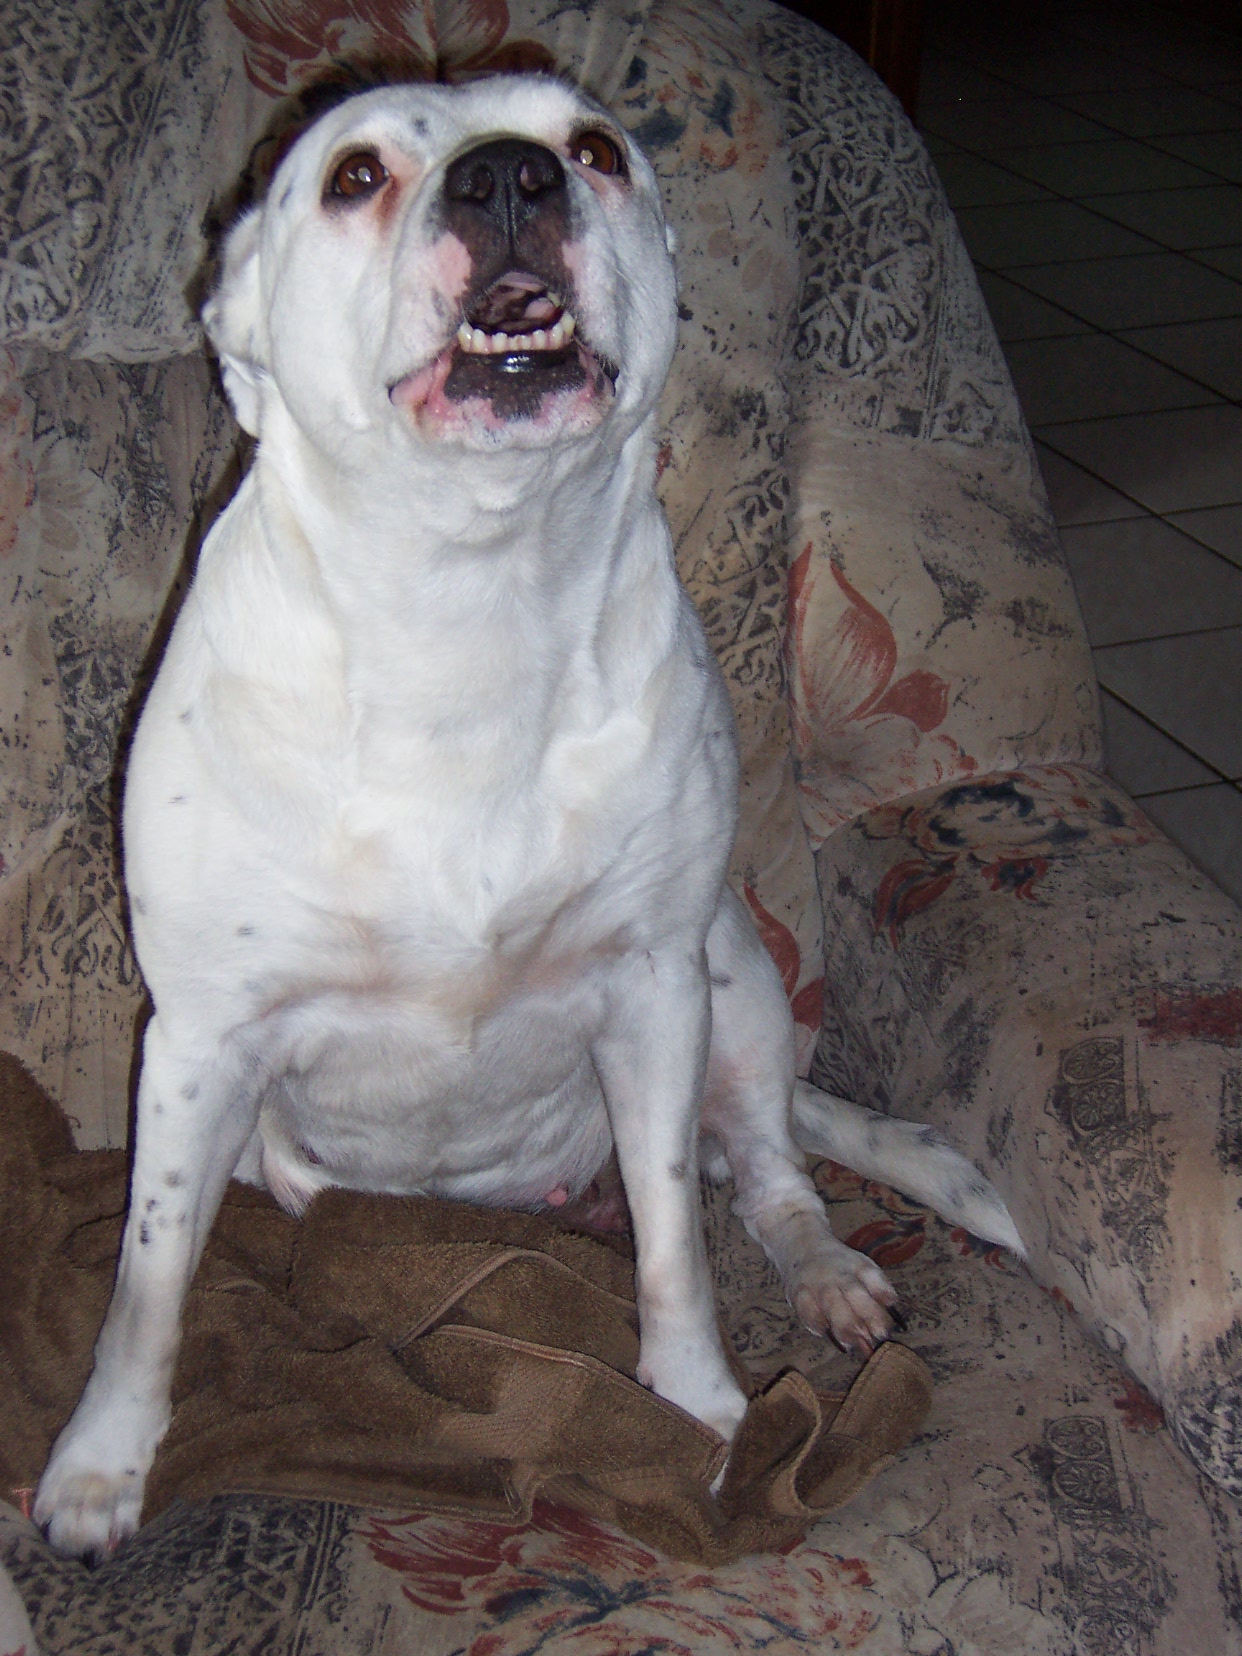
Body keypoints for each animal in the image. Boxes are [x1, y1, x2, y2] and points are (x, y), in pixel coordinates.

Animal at [34, 76, 1023, 1560]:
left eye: (596, 147)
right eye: (355, 174)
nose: (506, 178)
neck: (470, 602)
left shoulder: (653, 990)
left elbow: (675, 1238)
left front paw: (703, 1415)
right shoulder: (201, 1039)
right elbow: (149, 1279)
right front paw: (104, 1461)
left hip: (736, 979)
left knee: (767, 1170)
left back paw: (829, 1277)